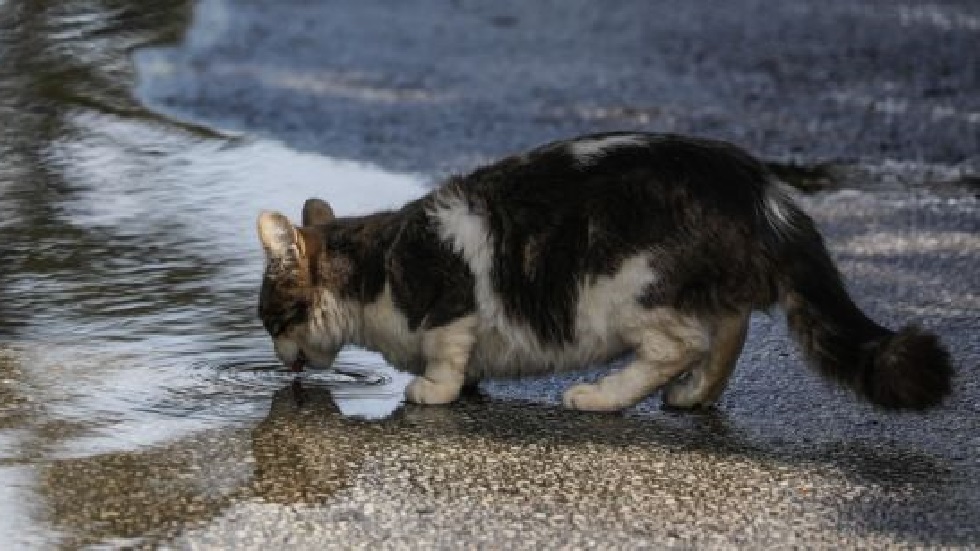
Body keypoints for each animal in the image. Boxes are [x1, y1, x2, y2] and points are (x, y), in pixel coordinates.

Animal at [256, 132, 952, 412]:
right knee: (730, 329)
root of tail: (759, 190)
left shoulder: (451, 304)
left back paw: (600, 396)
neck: (375, 267)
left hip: (628, 288)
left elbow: (448, 354)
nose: (280, 361)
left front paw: (434, 390)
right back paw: (695, 397)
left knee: (683, 343)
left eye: (270, 321)